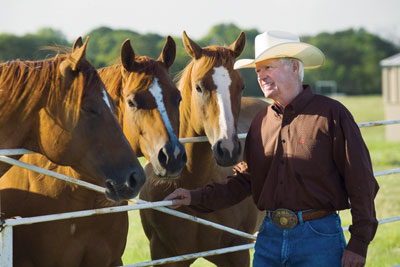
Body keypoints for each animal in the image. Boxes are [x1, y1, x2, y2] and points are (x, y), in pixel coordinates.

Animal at [138, 32, 268, 266]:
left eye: (241, 86)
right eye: (199, 87)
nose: (228, 149)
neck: (192, 180)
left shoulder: (237, 253)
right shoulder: (165, 254)